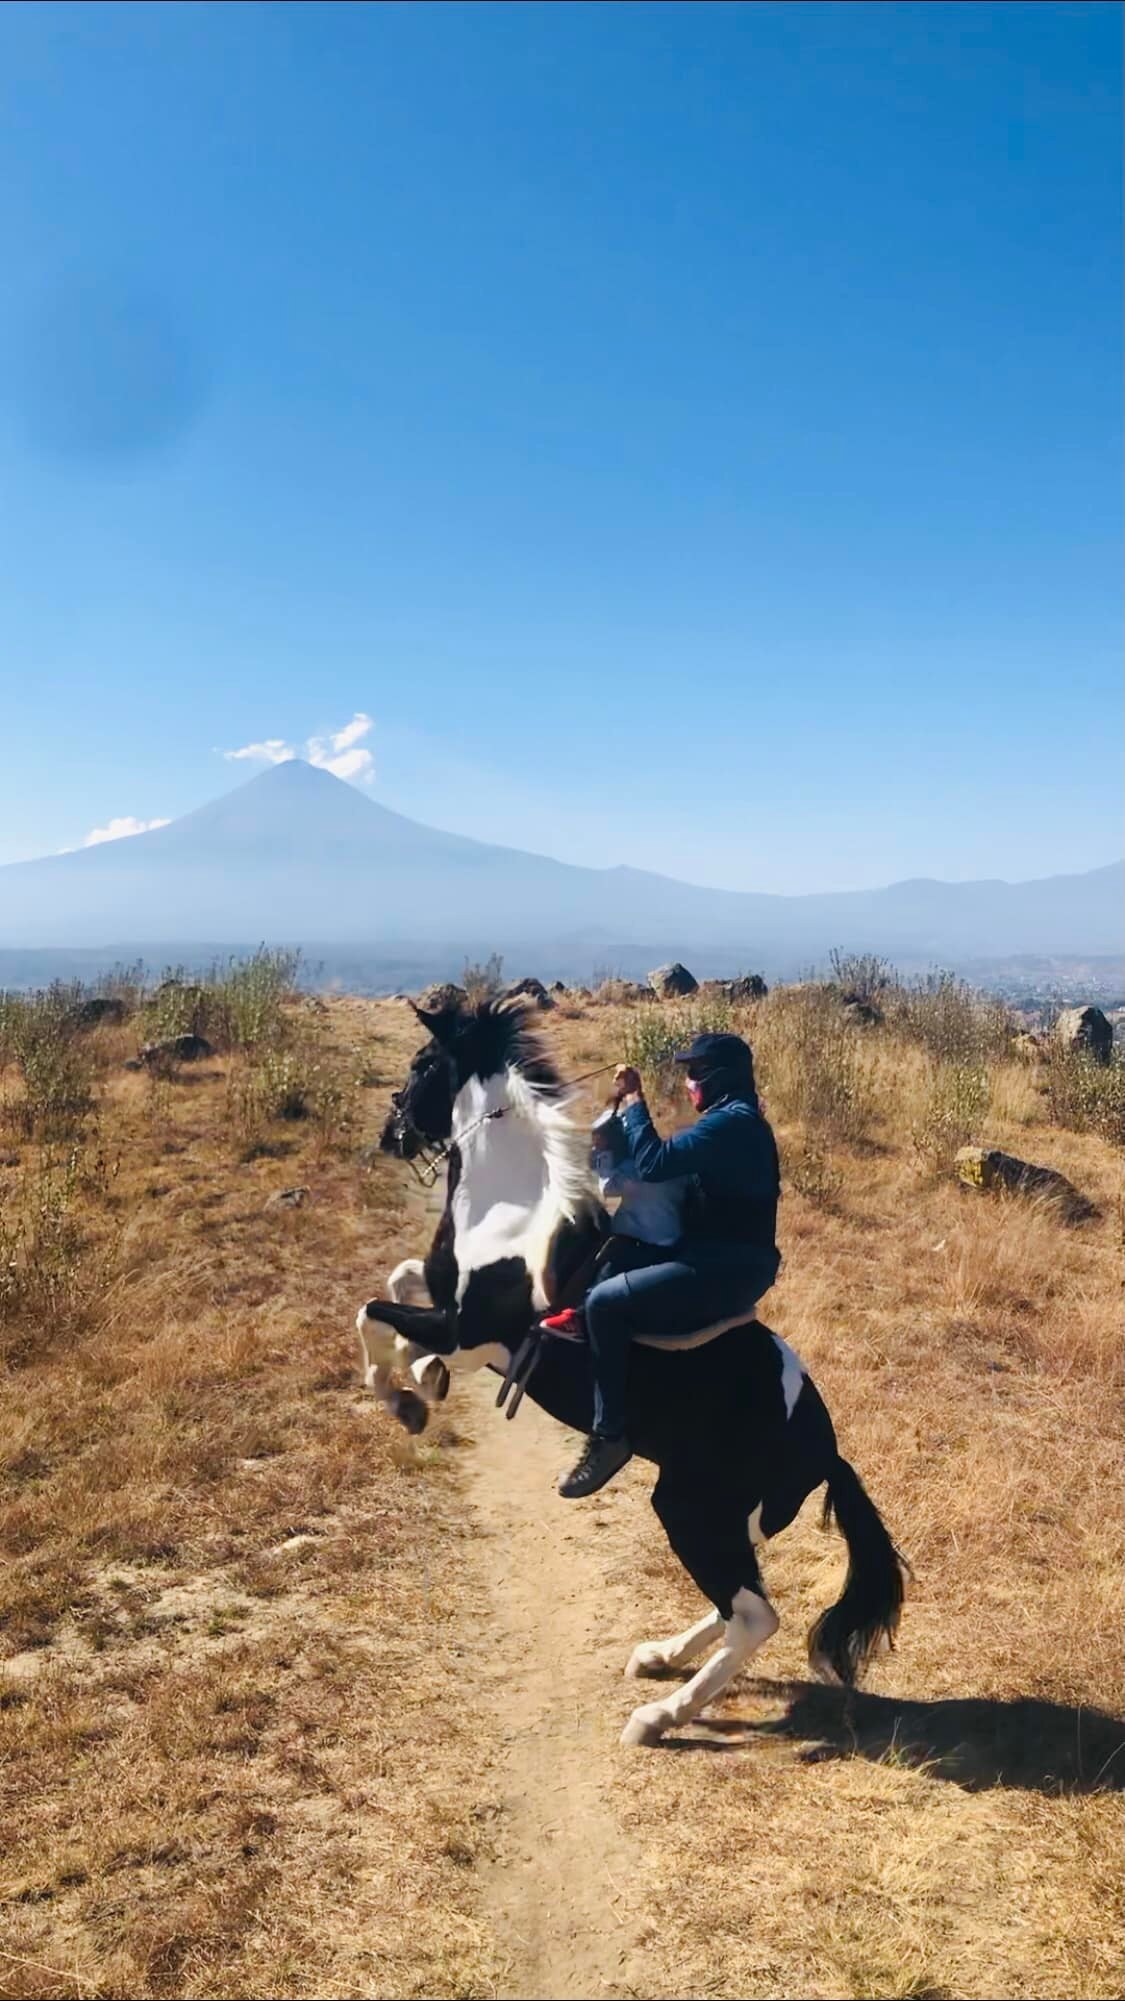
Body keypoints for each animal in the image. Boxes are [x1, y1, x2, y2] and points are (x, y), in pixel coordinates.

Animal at [357, 996, 907, 1748]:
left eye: (420, 1064)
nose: (391, 1134)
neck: (512, 1213)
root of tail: (823, 1445)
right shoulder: (442, 1301)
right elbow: (396, 1282)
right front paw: (422, 1383)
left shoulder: (471, 1333)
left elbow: (373, 1316)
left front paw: (409, 1400)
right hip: (729, 1515)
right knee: (739, 1600)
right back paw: (659, 1656)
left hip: (690, 1508)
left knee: (754, 1615)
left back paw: (657, 1716)